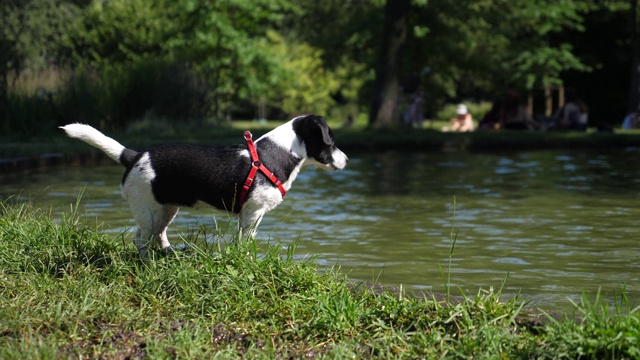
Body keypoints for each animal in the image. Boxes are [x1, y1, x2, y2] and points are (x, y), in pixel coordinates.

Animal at [59, 115, 348, 256]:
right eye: (330, 141)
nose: (346, 160)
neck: (276, 154)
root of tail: (133, 156)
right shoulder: (253, 214)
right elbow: (246, 242)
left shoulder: (249, 216)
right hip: (149, 211)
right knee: (140, 238)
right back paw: (147, 261)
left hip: (165, 209)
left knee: (157, 234)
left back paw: (169, 254)